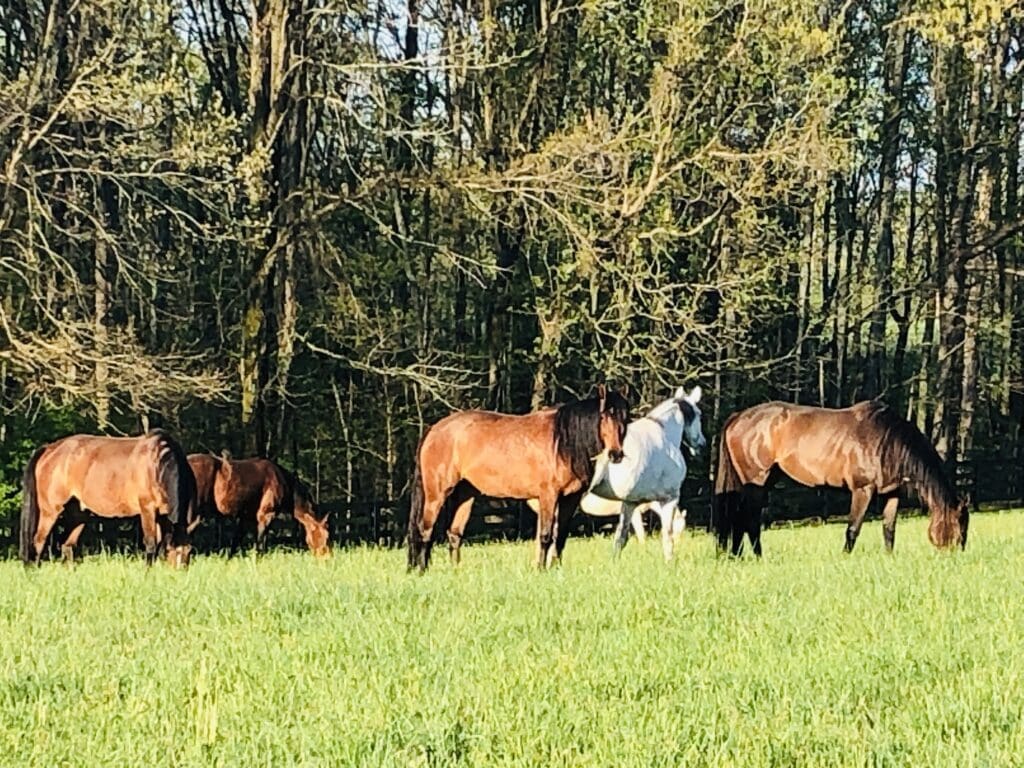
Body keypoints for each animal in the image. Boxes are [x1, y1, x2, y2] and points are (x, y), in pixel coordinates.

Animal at [19, 430, 194, 569]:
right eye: (177, 554)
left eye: (188, 552)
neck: (158, 465)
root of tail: (49, 449)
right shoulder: (148, 509)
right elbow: (151, 543)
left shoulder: (162, 514)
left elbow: (158, 543)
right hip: (50, 511)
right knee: (39, 541)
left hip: (78, 515)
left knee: (68, 545)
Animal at [189, 454, 331, 557]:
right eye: (323, 535)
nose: (326, 556)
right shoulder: (266, 514)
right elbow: (260, 542)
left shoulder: (246, 518)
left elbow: (236, 542)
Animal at [403, 385, 626, 573]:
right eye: (604, 417)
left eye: (625, 418)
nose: (616, 454)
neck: (562, 443)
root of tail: (434, 430)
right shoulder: (548, 496)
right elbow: (546, 535)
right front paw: (541, 570)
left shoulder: (570, 498)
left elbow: (561, 536)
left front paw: (556, 569)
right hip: (437, 494)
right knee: (425, 531)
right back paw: (421, 570)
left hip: (465, 493)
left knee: (454, 533)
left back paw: (455, 571)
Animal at [585, 387, 704, 561]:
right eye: (699, 413)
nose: (702, 444)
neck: (665, 435)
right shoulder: (669, 498)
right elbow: (666, 535)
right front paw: (669, 561)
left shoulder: (630, 503)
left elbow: (621, 538)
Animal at [712, 399, 966, 557]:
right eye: (960, 525)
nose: (957, 556)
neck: (887, 441)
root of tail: (738, 417)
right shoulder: (863, 490)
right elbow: (853, 528)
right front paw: (845, 556)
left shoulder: (891, 493)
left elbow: (889, 529)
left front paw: (889, 557)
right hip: (756, 482)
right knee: (749, 520)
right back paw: (757, 556)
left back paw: (738, 555)